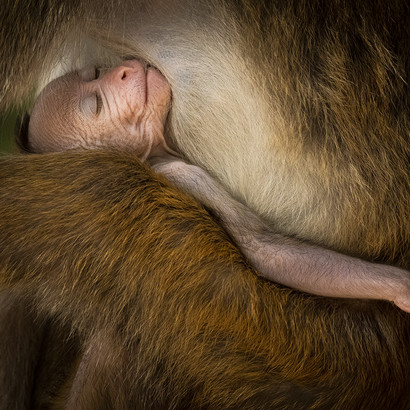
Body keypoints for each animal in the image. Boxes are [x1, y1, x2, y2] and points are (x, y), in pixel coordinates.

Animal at [26, 59, 410, 312]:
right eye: (96, 106)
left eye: (94, 75)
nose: (120, 70)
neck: (156, 154)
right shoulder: (186, 175)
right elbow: (261, 250)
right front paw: (399, 286)